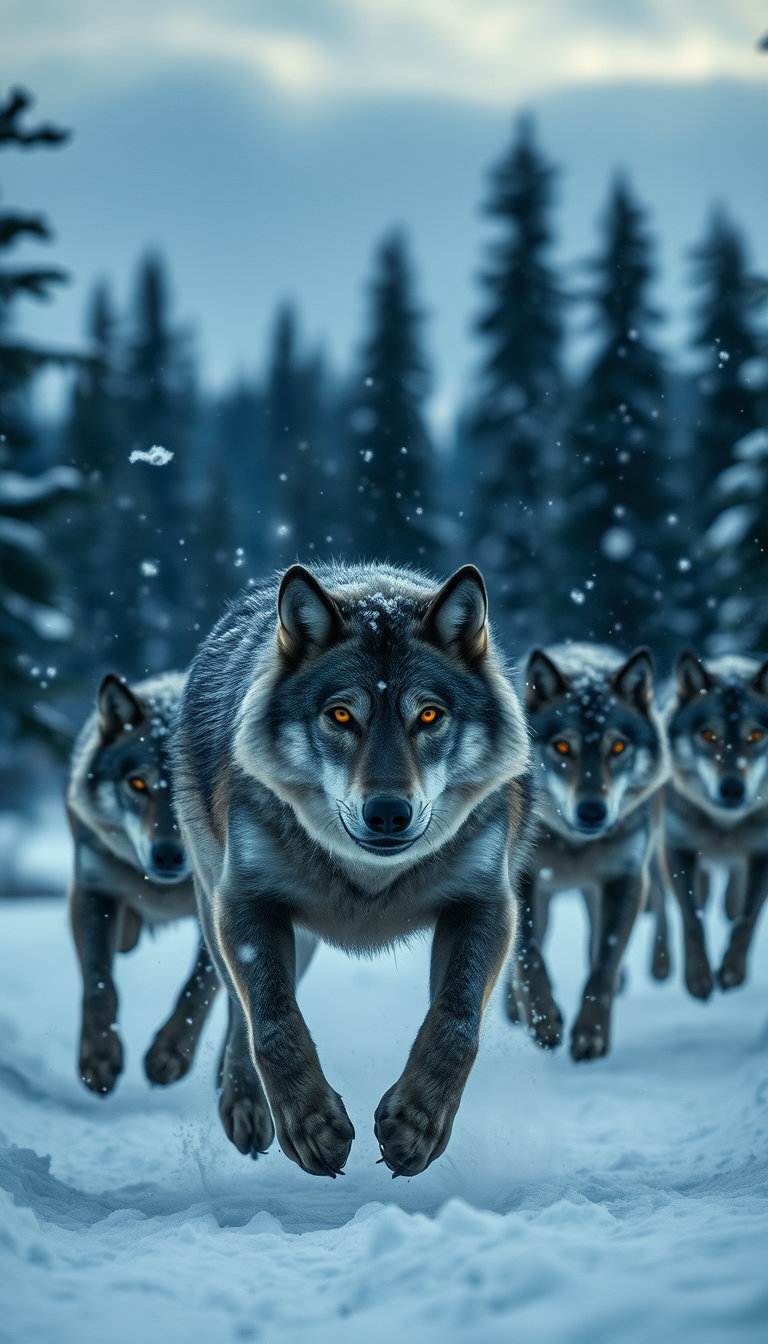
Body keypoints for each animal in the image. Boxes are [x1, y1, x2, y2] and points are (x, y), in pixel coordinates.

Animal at [67, 672, 218, 1095]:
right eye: (137, 784)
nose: (168, 855)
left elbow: (198, 987)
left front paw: (169, 1054)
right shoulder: (91, 892)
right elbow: (98, 984)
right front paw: (99, 1057)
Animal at [173, 561, 533, 1178]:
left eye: (429, 715)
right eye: (341, 715)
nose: (387, 812)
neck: (370, 880)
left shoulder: (486, 904)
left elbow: (456, 1022)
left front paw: (415, 1125)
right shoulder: (245, 902)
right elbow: (271, 1022)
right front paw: (312, 1126)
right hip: (223, 906)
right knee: (239, 1011)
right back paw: (246, 1108)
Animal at [506, 643, 668, 1060]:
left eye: (618, 747)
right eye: (563, 746)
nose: (593, 811)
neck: (573, 843)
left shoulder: (625, 880)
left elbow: (604, 962)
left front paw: (591, 1035)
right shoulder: (523, 879)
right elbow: (528, 955)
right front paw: (543, 1023)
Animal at [661, 651, 768, 998]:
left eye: (756, 735)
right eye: (709, 735)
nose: (732, 789)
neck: (725, 827)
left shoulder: (762, 855)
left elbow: (747, 918)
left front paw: (733, 972)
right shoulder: (677, 849)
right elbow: (692, 918)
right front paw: (698, 979)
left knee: (731, 902)